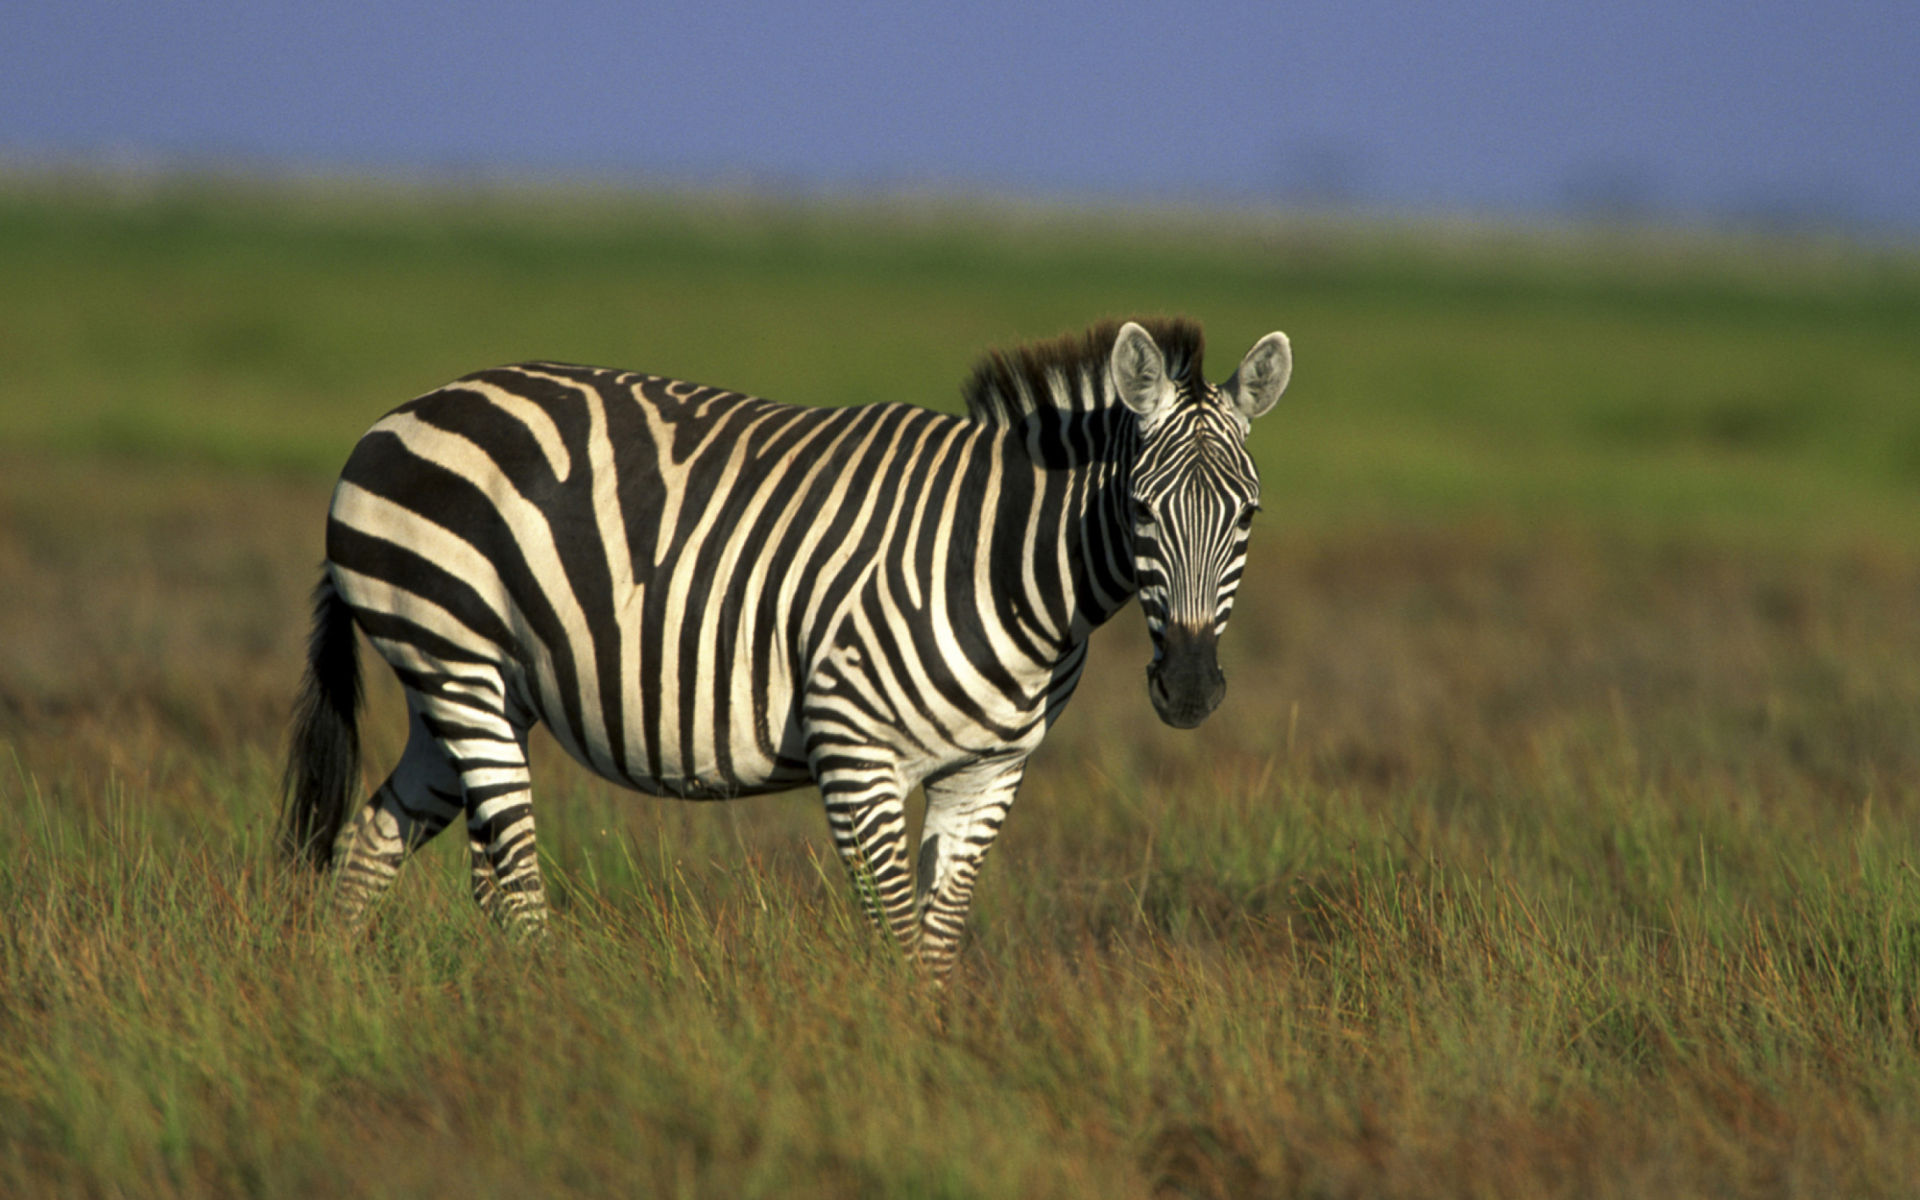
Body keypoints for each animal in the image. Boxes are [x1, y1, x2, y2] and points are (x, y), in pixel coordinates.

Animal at [280, 320, 1290, 983]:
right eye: (1142, 509)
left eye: (1247, 515)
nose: (1190, 690)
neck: (1006, 563)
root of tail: (403, 414)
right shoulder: (856, 752)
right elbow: (895, 936)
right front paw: (903, 1083)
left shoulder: (988, 771)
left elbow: (937, 945)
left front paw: (941, 1073)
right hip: (453, 657)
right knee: (514, 889)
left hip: (470, 691)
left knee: (377, 843)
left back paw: (336, 1001)